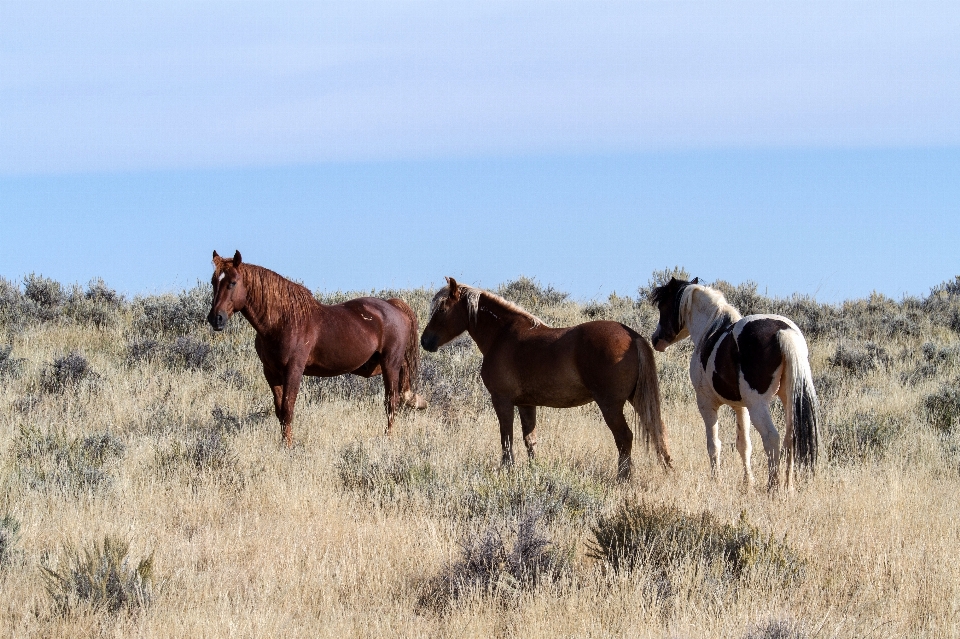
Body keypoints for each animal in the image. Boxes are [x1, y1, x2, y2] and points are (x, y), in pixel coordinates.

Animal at [210, 251, 428, 444]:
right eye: (213, 282)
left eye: (232, 282)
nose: (215, 318)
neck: (282, 321)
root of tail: (394, 307)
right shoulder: (271, 373)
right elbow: (280, 411)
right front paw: (283, 444)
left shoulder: (294, 370)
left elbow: (288, 409)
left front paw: (289, 447)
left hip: (390, 364)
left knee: (391, 402)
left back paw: (388, 438)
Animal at [420, 278, 668, 478]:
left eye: (442, 309)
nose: (425, 341)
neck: (502, 335)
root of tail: (633, 336)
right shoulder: (526, 404)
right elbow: (530, 439)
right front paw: (534, 470)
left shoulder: (502, 401)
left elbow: (506, 439)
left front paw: (507, 470)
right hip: (637, 400)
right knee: (657, 431)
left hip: (611, 405)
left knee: (624, 438)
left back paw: (623, 478)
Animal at [648, 276, 820, 490]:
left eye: (663, 306)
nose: (655, 340)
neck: (710, 331)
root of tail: (783, 332)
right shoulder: (741, 407)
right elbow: (744, 445)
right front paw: (748, 483)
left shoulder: (706, 404)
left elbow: (714, 444)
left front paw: (716, 480)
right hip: (788, 400)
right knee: (790, 438)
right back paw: (788, 488)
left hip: (758, 405)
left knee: (772, 438)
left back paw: (773, 486)